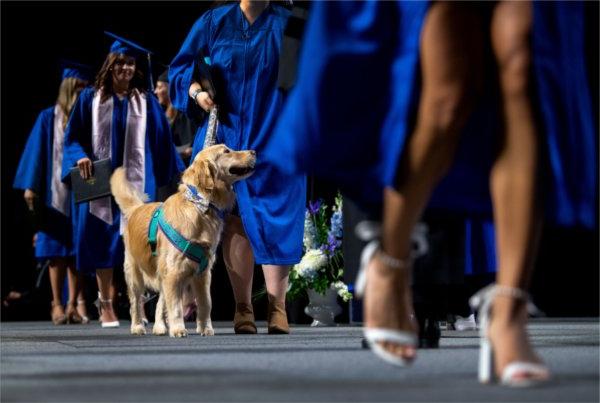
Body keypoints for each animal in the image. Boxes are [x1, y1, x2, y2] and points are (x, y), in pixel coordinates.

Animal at [110, 145, 255, 338]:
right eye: (226, 151)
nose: (253, 152)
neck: (200, 205)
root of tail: (137, 208)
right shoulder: (174, 272)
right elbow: (176, 307)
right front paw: (178, 328)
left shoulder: (202, 273)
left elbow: (205, 303)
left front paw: (205, 328)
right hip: (135, 274)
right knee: (136, 303)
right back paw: (138, 326)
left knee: (160, 302)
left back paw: (160, 327)